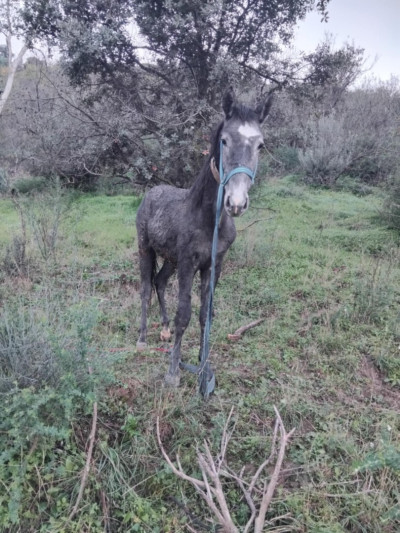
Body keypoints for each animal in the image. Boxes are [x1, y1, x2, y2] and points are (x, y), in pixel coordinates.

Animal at [137, 88, 272, 386]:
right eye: (224, 140)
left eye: (260, 145)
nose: (236, 203)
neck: (209, 220)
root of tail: (152, 192)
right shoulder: (189, 263)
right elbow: (184, 315)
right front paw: (173, 372)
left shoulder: (213, 264)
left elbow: (204, 314)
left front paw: (203, 364)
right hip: (145, 249)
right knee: (145, 288)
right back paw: (141, 338)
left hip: (171, 259)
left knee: (159, 282)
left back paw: (164, 330)